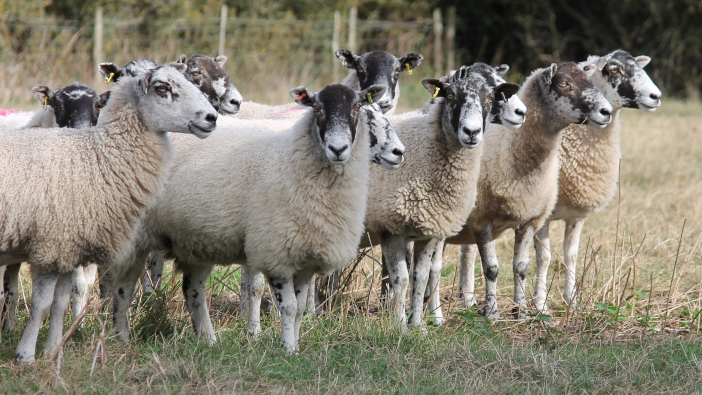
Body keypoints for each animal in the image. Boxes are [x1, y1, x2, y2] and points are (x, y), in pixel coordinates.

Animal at [0, 63, 217, 364]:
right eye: (162, 88)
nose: (212, 117)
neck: (97, 156)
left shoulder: (68, 250)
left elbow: (59, 304)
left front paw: (53, 351)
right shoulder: (50, 246)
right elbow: (42, 304)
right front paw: (26, 356)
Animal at [111, 82, 390, 352]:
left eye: (357, 107)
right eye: (318, 108)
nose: (338, 149)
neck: (292, 159)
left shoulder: (305, 258)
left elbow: (300, 308)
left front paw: (295, 345)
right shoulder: (275, 251)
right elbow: (288, 307)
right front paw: (287, 349)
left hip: (195, 241)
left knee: (193, 291)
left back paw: (208, 341)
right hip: (134, 236)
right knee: (123, 287)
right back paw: (121, 337)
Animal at [364, 74, 524, 328]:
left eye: (490, 98)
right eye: (449, 96)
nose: (471, 131)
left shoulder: (429, 228)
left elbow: (420, 277)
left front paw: (418, 326)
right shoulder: (390, 226)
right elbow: (401, 278)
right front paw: (399, 326)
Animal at [446, 62, 616, 322]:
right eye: (563, 83)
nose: (606, 111)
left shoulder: (529, 218)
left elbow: (521, 267)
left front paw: (522, 312)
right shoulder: (482, 220)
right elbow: (491, 268)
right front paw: (492, 313)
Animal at [532, 51, 664, 314]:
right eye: (614, 69)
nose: (656, 97)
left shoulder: (576, 216)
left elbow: (571, 255)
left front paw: (571, 301)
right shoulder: (543, 214)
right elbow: (544, 257)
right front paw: (540, 306)